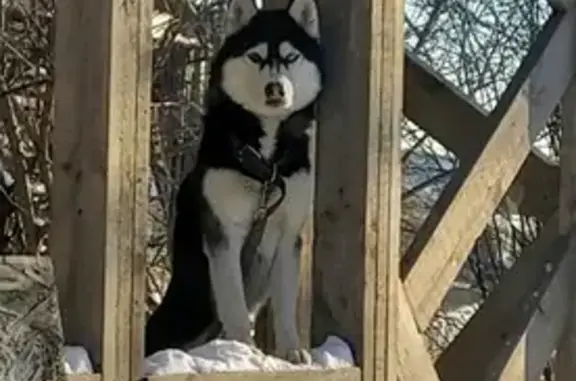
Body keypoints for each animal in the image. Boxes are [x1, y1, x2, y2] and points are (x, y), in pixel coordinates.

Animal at [145, 0, 324, 364]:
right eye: (255, 57)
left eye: (291, 57)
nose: (275, 88)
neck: (266, 164)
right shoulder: (223, 232)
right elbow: (233, 302)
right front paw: (243, 350)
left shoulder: (289, 235)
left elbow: (285, 305)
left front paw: (291, 351)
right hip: (192, 303)